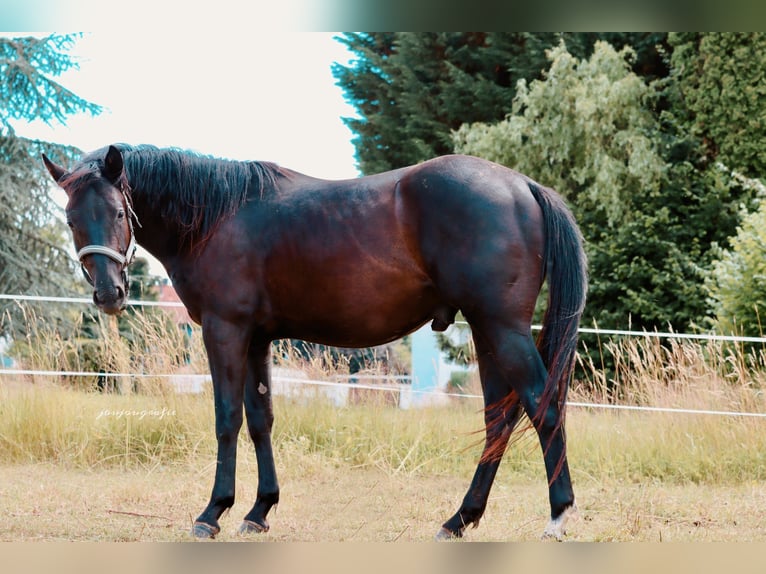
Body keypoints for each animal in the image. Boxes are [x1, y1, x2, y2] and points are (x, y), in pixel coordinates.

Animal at [42, 144, 587, 540]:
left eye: (118, 213)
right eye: (70, 219)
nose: (108, 294)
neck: (215, 216)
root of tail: (523, 186)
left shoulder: (225, 330)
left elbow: (227, 419)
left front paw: (213, 512)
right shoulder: (256, 339)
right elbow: (260, 420)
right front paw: (259, 510)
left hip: (500, 328)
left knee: (541, 407)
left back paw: (558, 516)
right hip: (486, 333)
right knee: (500, 418)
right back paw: (460, 520)